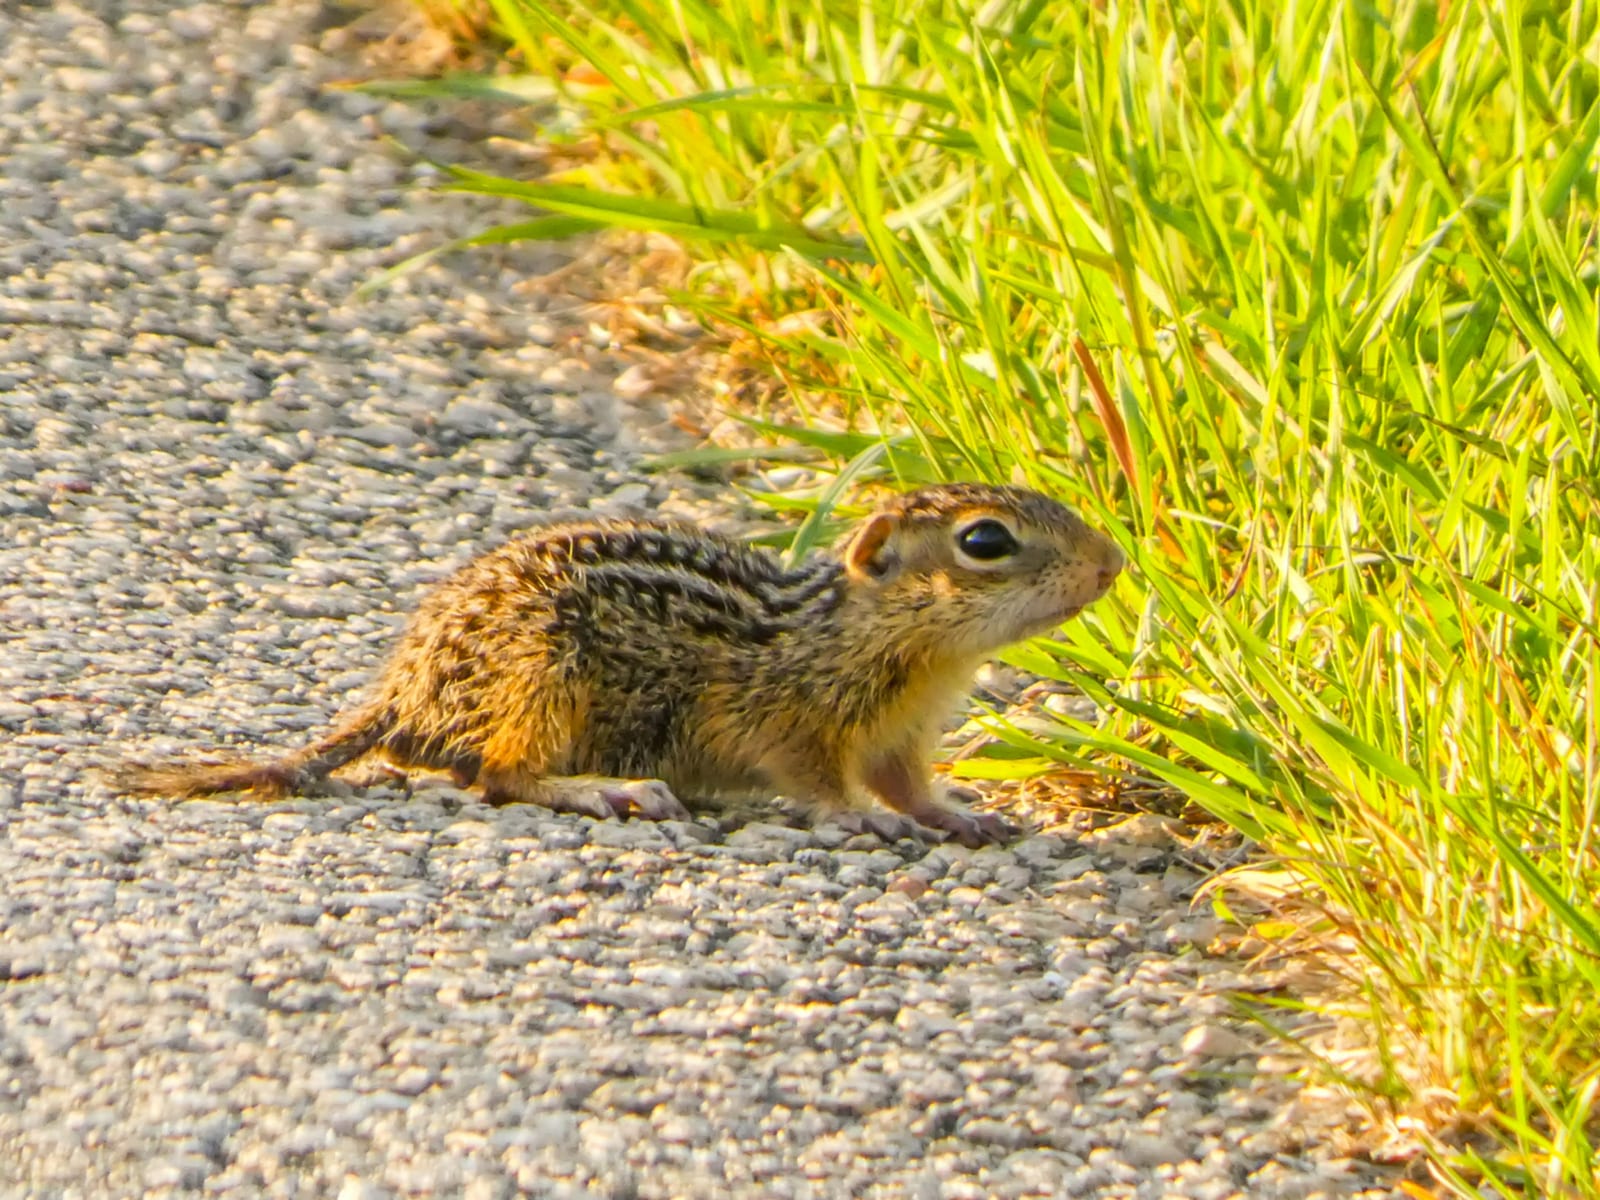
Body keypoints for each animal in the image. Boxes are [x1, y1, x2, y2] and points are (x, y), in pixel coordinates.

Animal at [118, 483, 1123, 846]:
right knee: (498, 776)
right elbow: (817, 781)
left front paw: (961, 815)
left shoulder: (901, 736)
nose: (1113, 563)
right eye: (985, 541)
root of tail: (402, 697)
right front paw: (859, 820)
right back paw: (609, 789)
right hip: (543, 676)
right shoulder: (790, 717)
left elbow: (910, 784)